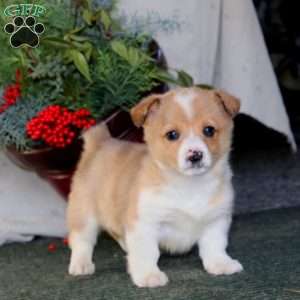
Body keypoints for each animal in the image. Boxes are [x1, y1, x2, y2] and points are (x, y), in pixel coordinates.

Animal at [67, 87, 243, 288]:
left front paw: (221, 264)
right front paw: (148, 275)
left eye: (209, 130)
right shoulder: (145, 223)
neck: (189, 186)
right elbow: (147, 252)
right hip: (84, 214)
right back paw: (81, 264)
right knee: (81, 240)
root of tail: (100, 142)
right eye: (172, 134)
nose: (195, 155)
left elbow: (215, 246)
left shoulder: (216, 220)